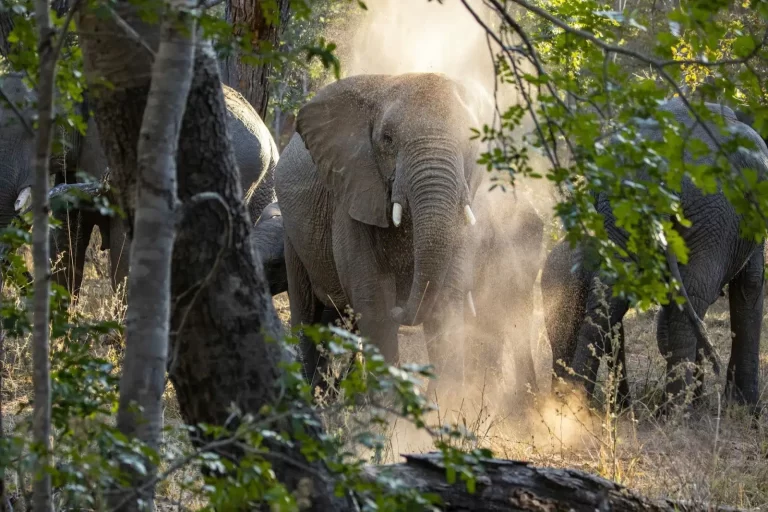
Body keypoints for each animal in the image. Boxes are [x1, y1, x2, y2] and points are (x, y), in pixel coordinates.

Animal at [275, 73, 484, 395]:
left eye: (470, 140)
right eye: (387, 139)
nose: (402, 308)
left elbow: (447, 302)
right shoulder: (353, 193)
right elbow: (374, 302)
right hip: (292, 234)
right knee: (307, 315)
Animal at [541, 97, 768, 410]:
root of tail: (658, 172)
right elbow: (751, 285)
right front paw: (746, 409)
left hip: (623, 206)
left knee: (609, 299)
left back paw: (578, 405)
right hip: (715, 214)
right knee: (694, 296)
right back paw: (676, 412)